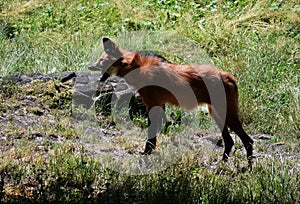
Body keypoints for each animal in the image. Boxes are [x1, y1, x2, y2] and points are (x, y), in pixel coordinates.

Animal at [89, 37, 253, 166]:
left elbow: (151, 135)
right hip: (216, 114)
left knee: (248, 141)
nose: (90, 66)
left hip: (226, 114)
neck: (135, 67)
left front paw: (146, 153)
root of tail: (228, 76)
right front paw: (149, 153)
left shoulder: (152, 104)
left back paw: (248, 170)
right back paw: (223, 164)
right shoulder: (159, 104)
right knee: (230, 141)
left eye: (101, 61)